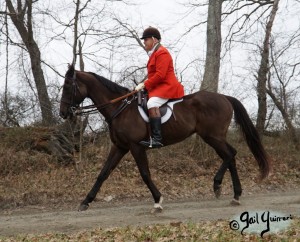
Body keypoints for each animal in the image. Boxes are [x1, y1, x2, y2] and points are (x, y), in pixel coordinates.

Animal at [59, 65, 270, 212]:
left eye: (68, 86)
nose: (62, 113)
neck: (120, 108)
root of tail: (225, 97)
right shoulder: (120, 147)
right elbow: (103, 173)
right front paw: (85, 202)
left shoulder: (136, 147)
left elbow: (145, 174)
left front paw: (158, 201)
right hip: (214, 137)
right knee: (230, 156)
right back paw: (235, 195)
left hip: (212, 136)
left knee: (230, 154)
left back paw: (217, 185)